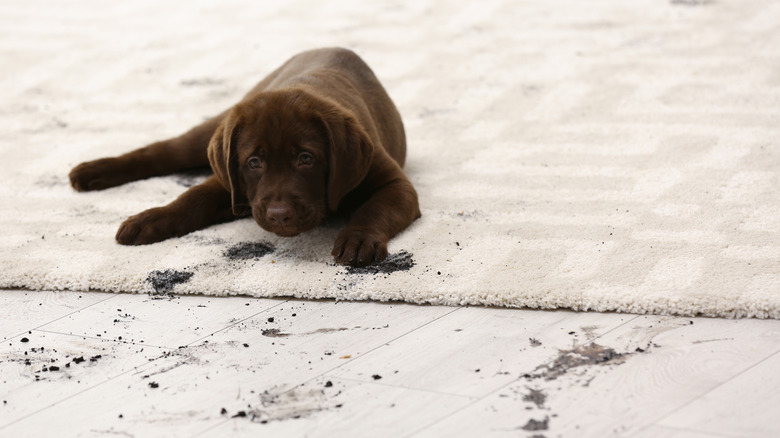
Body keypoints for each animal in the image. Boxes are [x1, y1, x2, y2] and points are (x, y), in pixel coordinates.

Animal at [69, 48, 418, 266]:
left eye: (306, 159)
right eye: (254, 162)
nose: (279, 215)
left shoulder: (394, 183)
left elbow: (374, 209)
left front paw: (358, 239)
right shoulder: (231, 179)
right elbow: (191, 198)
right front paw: (149, 220)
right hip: (212, 130)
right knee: (164, 151)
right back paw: (90, 172)